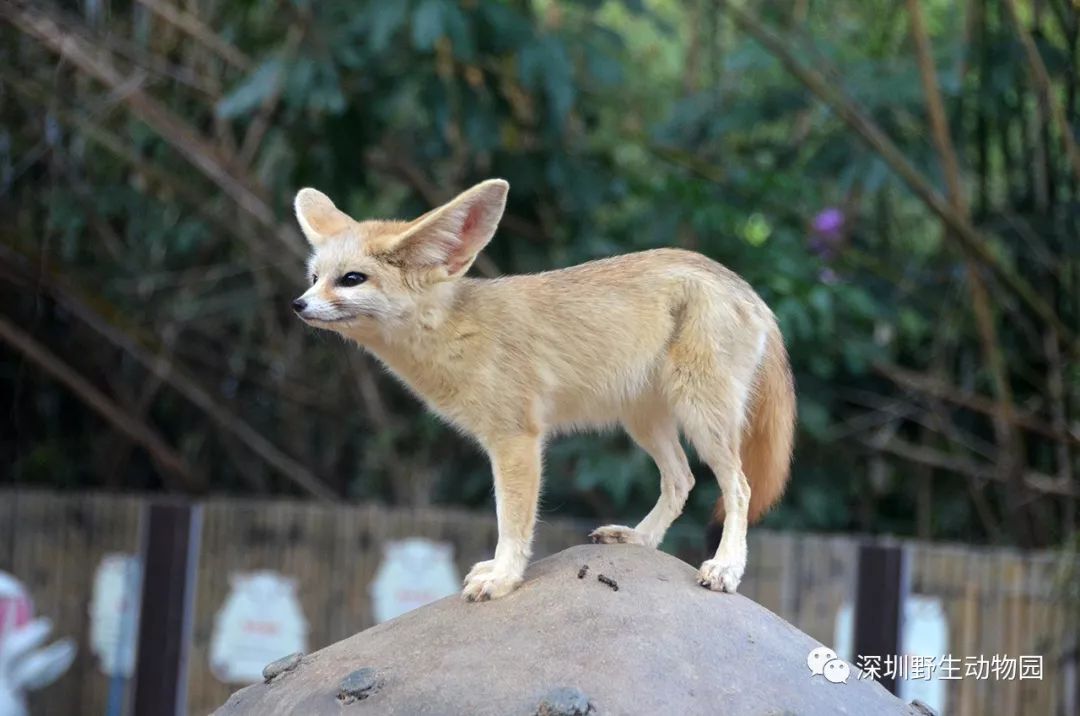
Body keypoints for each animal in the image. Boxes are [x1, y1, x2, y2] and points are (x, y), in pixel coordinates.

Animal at [291, 178, 796, 601]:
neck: (458, 331)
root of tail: (748, 290)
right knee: (681, 480)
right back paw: (640, 539)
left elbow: (512, 522)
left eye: (351, 279)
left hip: (702, 418)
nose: (297, 305)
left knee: (739, 488)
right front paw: (499, 571)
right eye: (315, 278)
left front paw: (503, 577)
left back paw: (726, 567)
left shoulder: (517, 440)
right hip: (646, 422)